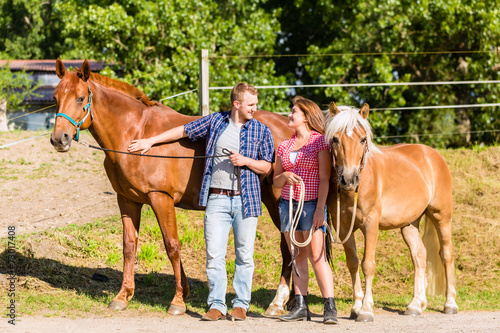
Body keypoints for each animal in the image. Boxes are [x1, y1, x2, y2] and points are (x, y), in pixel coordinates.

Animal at [48, 58, 294, 316]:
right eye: (55, 97)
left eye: (80, 98)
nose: (59, 139)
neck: (135, 133)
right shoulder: (127, 200)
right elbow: (129, 246)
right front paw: (123, 296)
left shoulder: (161, 198)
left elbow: (172, 245)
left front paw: (178, 300)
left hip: (280, 202)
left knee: (290, 245)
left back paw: (278, 302)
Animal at [324, 102, 458, 322]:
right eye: (335, 139)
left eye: (363, 139)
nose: (349, 179)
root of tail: (432, 155)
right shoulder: (344, 229)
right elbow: (353, 263)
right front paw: (356, 306)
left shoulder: (371, 225)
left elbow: (368, 264)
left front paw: (366, 310)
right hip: (409, 224)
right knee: (419, 255)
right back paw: (415, 305)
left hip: (441, 217)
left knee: (446, 255)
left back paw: (450, 304)